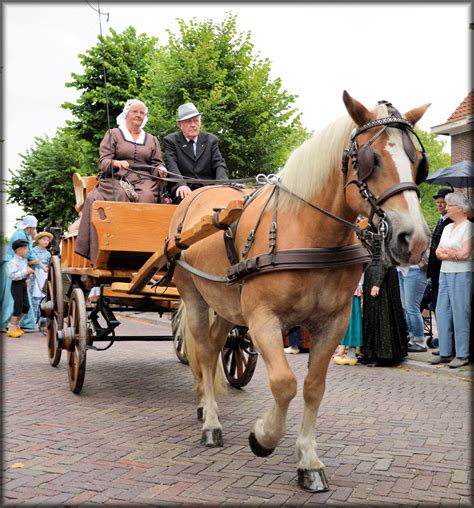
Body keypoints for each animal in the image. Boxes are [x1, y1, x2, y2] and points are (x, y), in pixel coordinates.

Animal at [168, 91, 432, 492]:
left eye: (417, 161)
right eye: (369, 159)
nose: (414, 241)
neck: (307, 231)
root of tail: (195, 196)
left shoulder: (333, 323)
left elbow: (313, 387)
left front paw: (308, 461)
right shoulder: (263, 319)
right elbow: (284, 383)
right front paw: (262, 437)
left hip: (227, 306)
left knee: (213, 348)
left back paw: (206, 406)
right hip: (196, 298)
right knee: (203, 351)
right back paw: (211, 423)